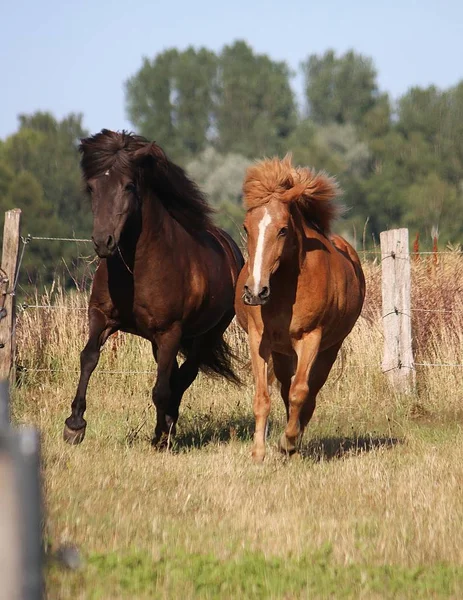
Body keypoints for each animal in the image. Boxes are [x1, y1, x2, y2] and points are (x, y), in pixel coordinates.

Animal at [65, 130, 246, 446]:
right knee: (175, 375)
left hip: (207, 334)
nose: (103, 242)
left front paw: (161, 437)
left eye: (128, 186)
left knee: (184, 375)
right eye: (92, 187)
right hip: (158, 340)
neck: (137, 270)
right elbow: (88, 357)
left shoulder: (170, 332)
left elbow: (161, 388)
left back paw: (169, 425)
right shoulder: (101, 317)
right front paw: (74, 425)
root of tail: (231, 248)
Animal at [236, 157, 366, 462]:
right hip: (283, 352)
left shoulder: (311, 338)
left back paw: (294, 442)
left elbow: (300, 392)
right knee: (285, 388)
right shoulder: (259, 340)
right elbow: (263, 397)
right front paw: (258, 453)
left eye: (283, 229)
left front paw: (288, 442)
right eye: (247, 228)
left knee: (310, 391)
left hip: (330, 348)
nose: (255, 291)